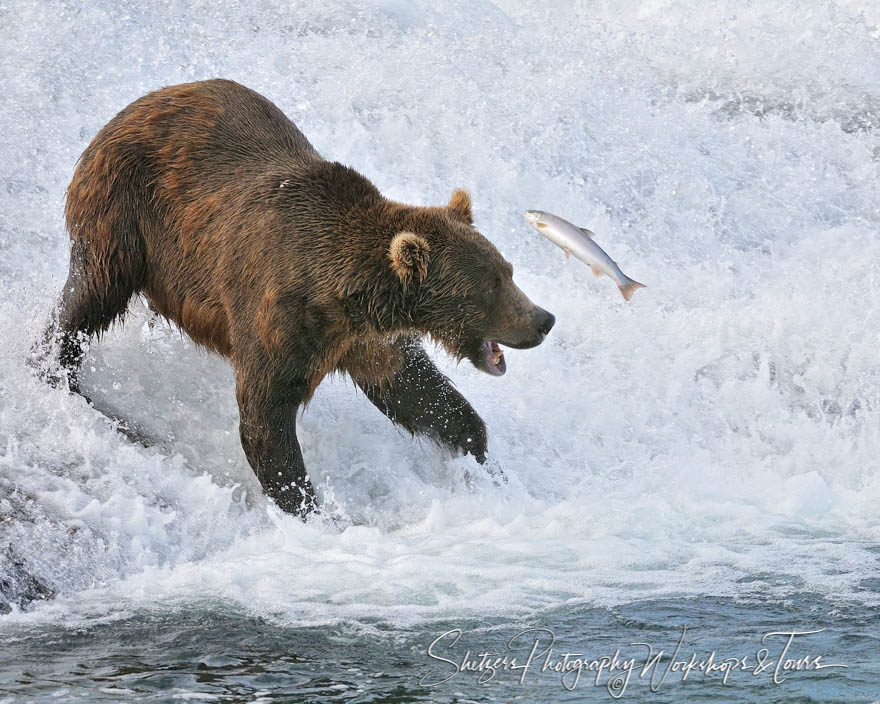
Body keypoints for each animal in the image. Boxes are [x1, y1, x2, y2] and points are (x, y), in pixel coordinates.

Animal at [44, 80, 552, 516]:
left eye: (508, 271)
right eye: (489, 287)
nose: (543, 320)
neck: (345, 296)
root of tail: (136, 105)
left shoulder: (364, 340)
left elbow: (419, 393)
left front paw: (486, 463)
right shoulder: (279, 315)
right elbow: (264, 416)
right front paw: (308, 506)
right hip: (123, 212)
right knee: (91, 295)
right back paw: (58, 369)